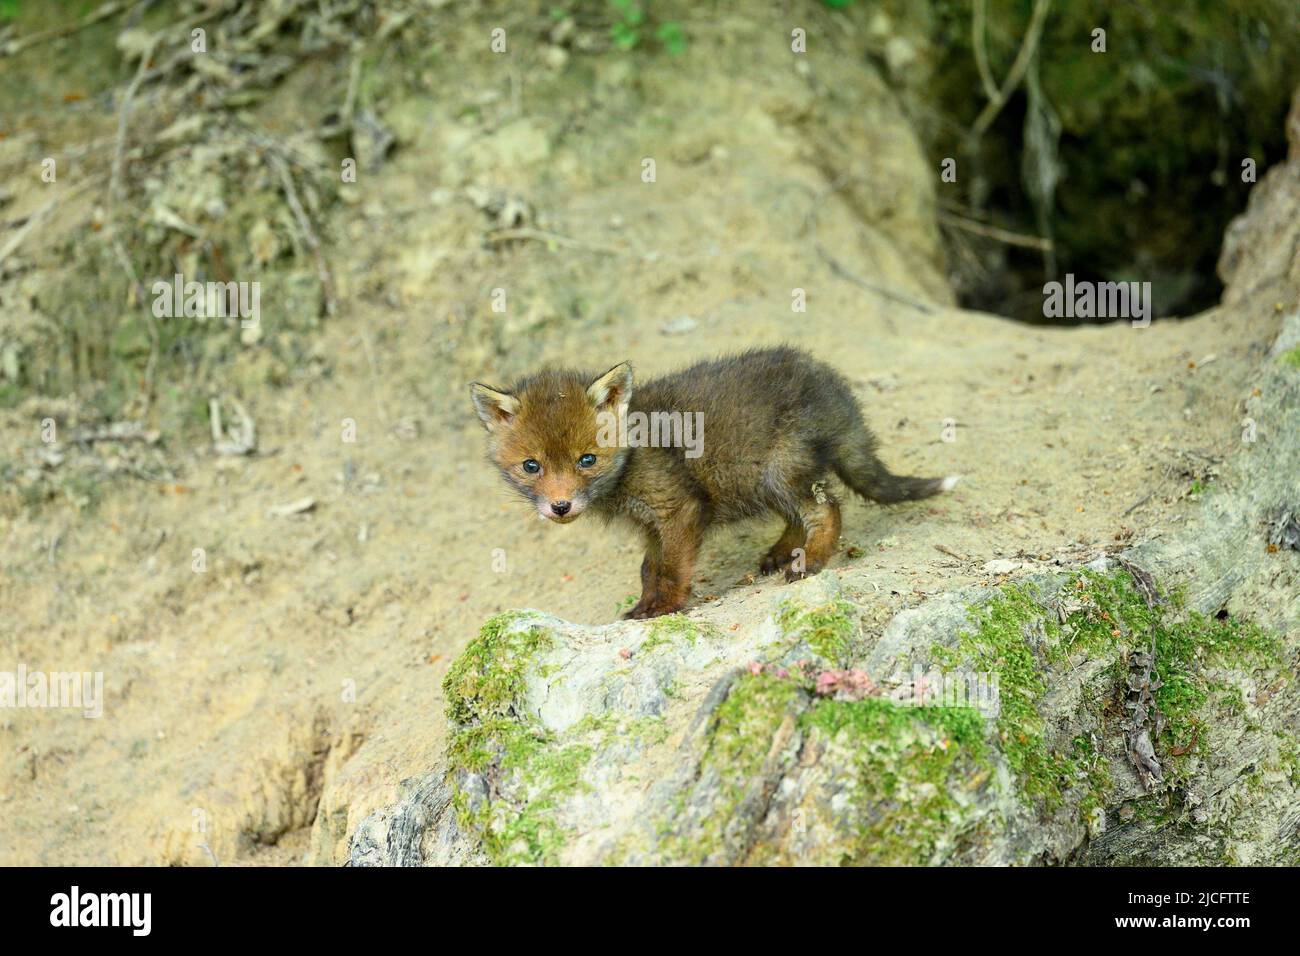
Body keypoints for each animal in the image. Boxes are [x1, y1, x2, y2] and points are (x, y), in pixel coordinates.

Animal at [473, 343, 961, 621]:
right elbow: (649, 569)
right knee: (798, 516)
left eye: (586, 460)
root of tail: (834, 388)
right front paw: (643, 605)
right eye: (531, 467)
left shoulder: (679, 509)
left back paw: (808, 562)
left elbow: (671, 569)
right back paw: (782, 554)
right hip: (762, 479)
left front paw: (665, 609)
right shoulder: (652, 525)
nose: (560, 507)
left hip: (780, 471)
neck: (633, 456)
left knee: (827, 510)